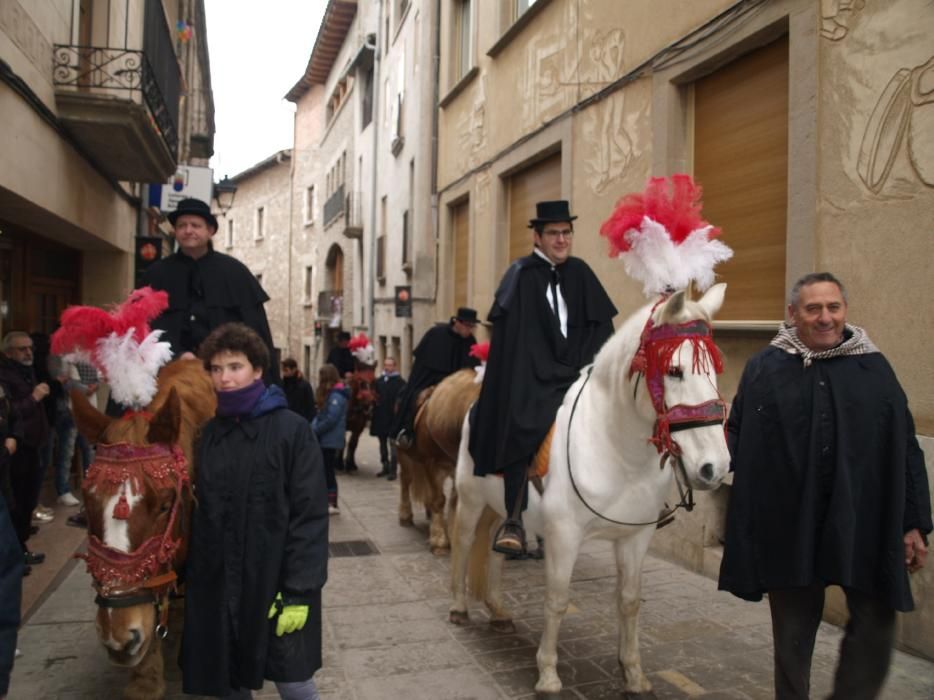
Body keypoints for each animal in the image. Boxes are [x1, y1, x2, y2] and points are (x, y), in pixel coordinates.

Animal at [396, 370, 482, 556]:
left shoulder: (458, 470)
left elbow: (454, 502)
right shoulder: (432, 465)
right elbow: (439, 499)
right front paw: (440, 541)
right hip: (404, 455)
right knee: (406, 481)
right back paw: (405, 515)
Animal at [452, 282, 732, 696]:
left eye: (714, 370)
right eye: (674, 370)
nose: (716, 467)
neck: (618, 451)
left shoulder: (635, 538)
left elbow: (629, 601)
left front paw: (633, 674)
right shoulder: (564, 536)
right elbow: (557, 599)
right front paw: (548, 674)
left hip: (498, 508)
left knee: (494, 551)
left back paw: (499, 610)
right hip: (471, 500)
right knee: (463, 542)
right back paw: (458, 607)